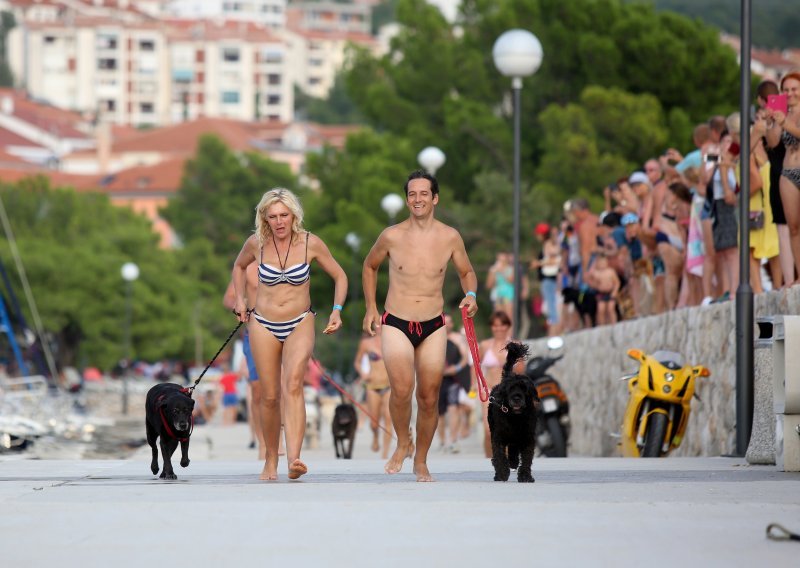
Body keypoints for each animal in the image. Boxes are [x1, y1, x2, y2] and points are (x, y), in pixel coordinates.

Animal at [484, 342, 540, 484]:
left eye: (525, 389)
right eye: (510, 389)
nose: (516, 398)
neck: (515, 417)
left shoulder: (527, 437)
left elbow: (526, 459)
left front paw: (525, 476)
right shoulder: (498, 437)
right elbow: (499, 456)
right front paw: (502, 474)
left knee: (513, 451)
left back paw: (513, 462)